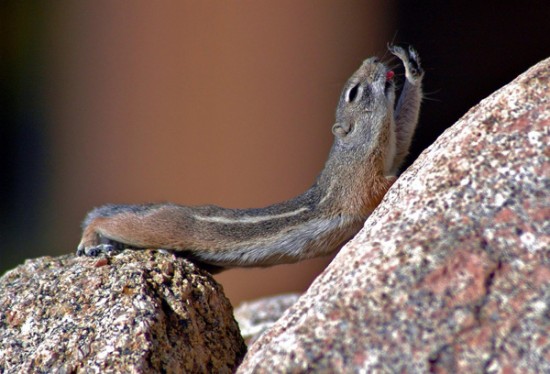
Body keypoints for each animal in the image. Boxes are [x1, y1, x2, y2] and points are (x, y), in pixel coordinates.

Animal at [75, 45, 424, 274]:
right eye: (354, 92)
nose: (373, 59)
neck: (357, 149)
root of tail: (165, 207)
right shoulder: (360, 183)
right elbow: (381, 187)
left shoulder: (392, 149)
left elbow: (404, 135)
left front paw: (412, 68)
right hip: (162, 228)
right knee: (108, 221)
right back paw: (92, 241)